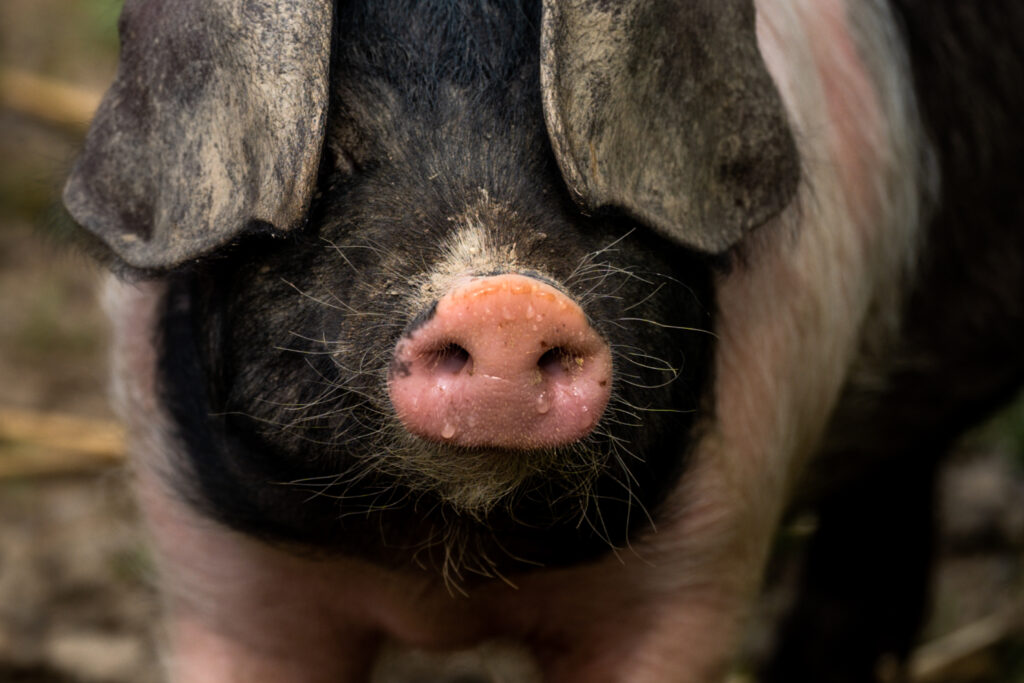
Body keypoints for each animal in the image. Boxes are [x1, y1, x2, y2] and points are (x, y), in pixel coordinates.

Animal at [63, 0, 1024, 681]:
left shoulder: (705, 554)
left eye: (570, 158)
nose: (506, 300)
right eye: (336, 154)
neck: (446, 567)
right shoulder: (213, 565)